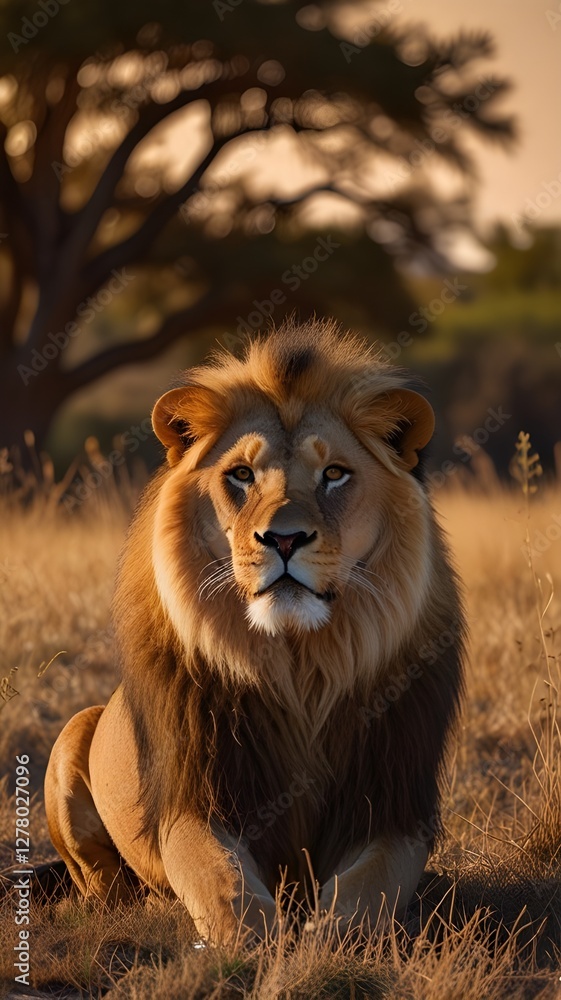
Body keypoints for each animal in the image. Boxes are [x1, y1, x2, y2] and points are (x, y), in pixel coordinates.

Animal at [45, 319, 465, 944]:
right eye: (240, 475)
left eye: (334, 474)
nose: (284, 539)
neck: (301, 665)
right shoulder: (197, 804)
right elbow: (223, 883)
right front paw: (261, 943)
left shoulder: (393, 808)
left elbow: (369, 889)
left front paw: (326, 938)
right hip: (74, 733)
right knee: (104, 885)